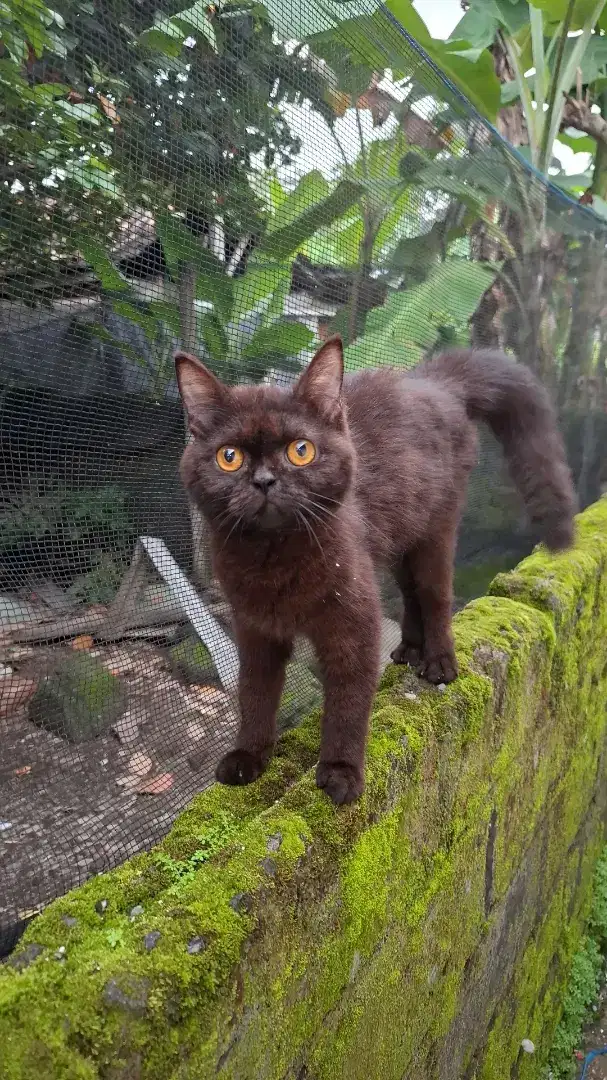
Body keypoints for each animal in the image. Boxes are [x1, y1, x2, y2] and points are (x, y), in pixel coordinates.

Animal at [173, 336, 570, 803]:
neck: (274, 560)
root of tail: (433, 381)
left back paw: (438, 662)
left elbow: (348, 698)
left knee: (435, 594)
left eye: (301, 450)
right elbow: (255, 690)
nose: (265, 481)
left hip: (436, 529)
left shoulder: (353, 619)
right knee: (411, 591)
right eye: (229, 457)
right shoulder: (254, 626)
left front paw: (341, 773)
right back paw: (410, 649)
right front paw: (248, 756)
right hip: (399, 537)